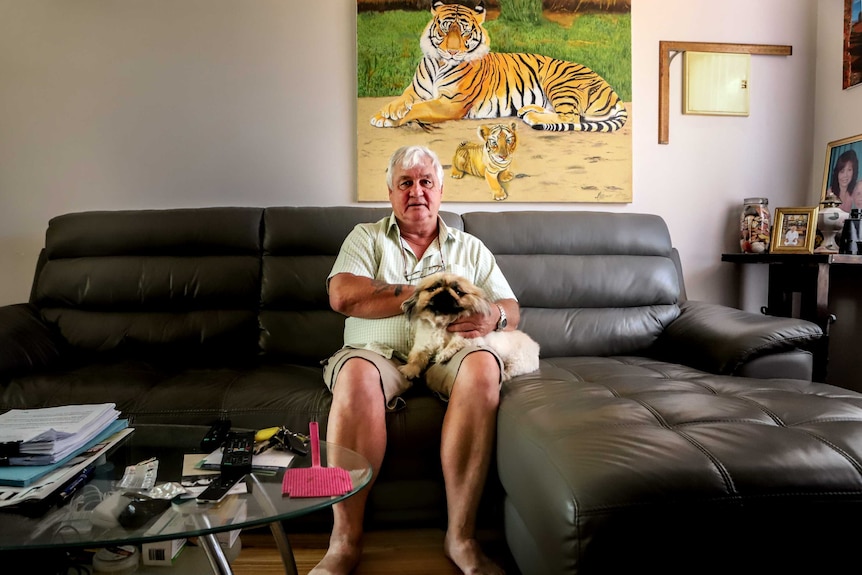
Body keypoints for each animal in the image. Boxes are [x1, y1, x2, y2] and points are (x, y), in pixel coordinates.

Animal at [372, 0, 628, 133]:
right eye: (444, 29)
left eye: (465, 31)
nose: (452, 51)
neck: (440, 62)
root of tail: (611, 89)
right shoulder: (416, 90)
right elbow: (401, 100)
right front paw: (383, 113)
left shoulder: (451, 103)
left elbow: (417, 109)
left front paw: (390, 119)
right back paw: (528, 110)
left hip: (558, 80)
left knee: (571, 118)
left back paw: (533, 118)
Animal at [400, 274, 540, 382]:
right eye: (433, 288)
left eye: (458, 292)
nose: (445, 292)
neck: (442, 323)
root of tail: (536, 347)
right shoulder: (422, 344)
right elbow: (416, 358)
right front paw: (409, 370)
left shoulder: (470, 337)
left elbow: (455, 343)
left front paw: (443, 354)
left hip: (517, 362)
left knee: (510, 371)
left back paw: (504, 374)